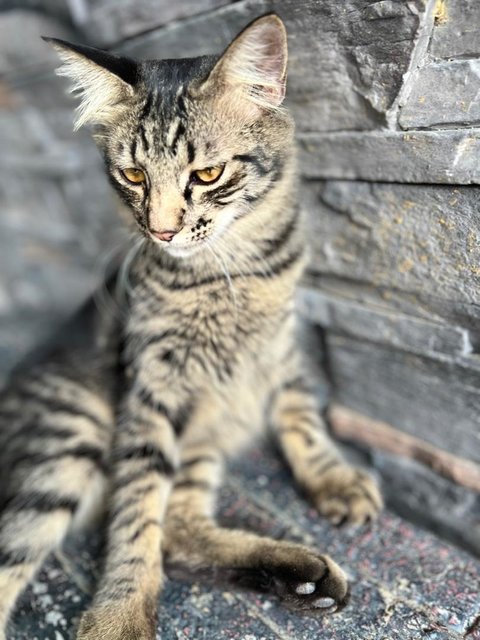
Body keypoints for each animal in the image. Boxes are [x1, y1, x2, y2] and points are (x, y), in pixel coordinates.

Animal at [0, 15, 382, 640]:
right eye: (133, 174)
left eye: (207, 173)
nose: (161, 231)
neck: (229, 274)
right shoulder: (152, 388)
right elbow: (138, 513)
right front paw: (121, 615)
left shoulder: (280, 350)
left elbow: (301, 416)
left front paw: (334, 480)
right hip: (70, 440)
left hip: (196, 436)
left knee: (180, 534)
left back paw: (305, 579)